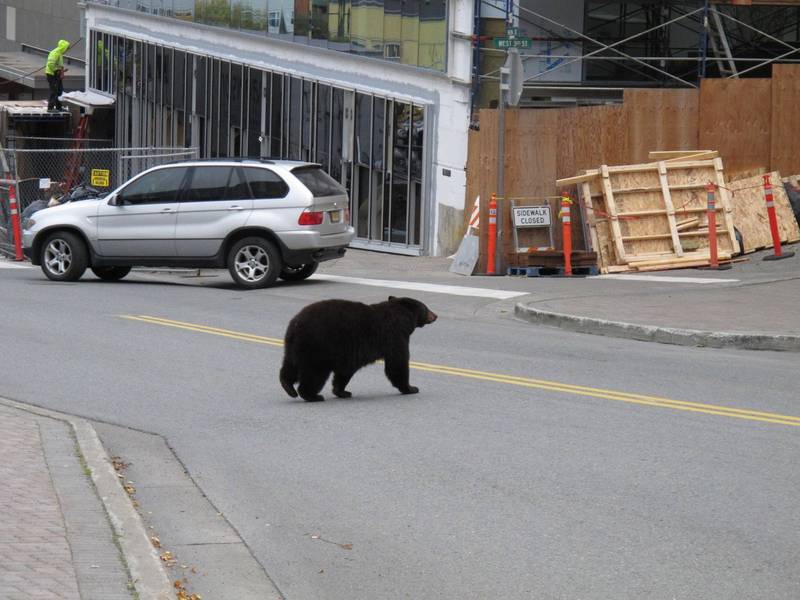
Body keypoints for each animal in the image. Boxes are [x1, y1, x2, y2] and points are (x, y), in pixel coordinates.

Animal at [276, 296, 438, 400]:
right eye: (426, 307)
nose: (436, 315)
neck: (401, 317)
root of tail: (295, 325)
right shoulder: (394, 336)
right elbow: (397, 363)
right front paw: (411, 388)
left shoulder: (349, 351)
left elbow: (345, 371)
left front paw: (342, 392)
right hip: (318, 346)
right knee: (314, 373)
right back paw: (312, 395)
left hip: (294, 347)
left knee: (290, 365)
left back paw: (288, 387)